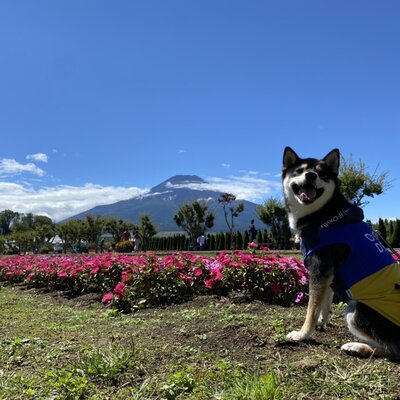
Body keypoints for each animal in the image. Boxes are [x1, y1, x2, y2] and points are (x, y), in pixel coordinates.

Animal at [282, 147, 400, 360]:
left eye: (322, 173)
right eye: (299, 170)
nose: (310, 175)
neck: (324, 216)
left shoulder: (319, 269)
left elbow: (311, 309)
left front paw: (303, 334)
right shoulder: (329, 274)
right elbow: (323, 304)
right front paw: (322, 322)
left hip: (355, 309)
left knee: (393, 349)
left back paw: (357, 347)